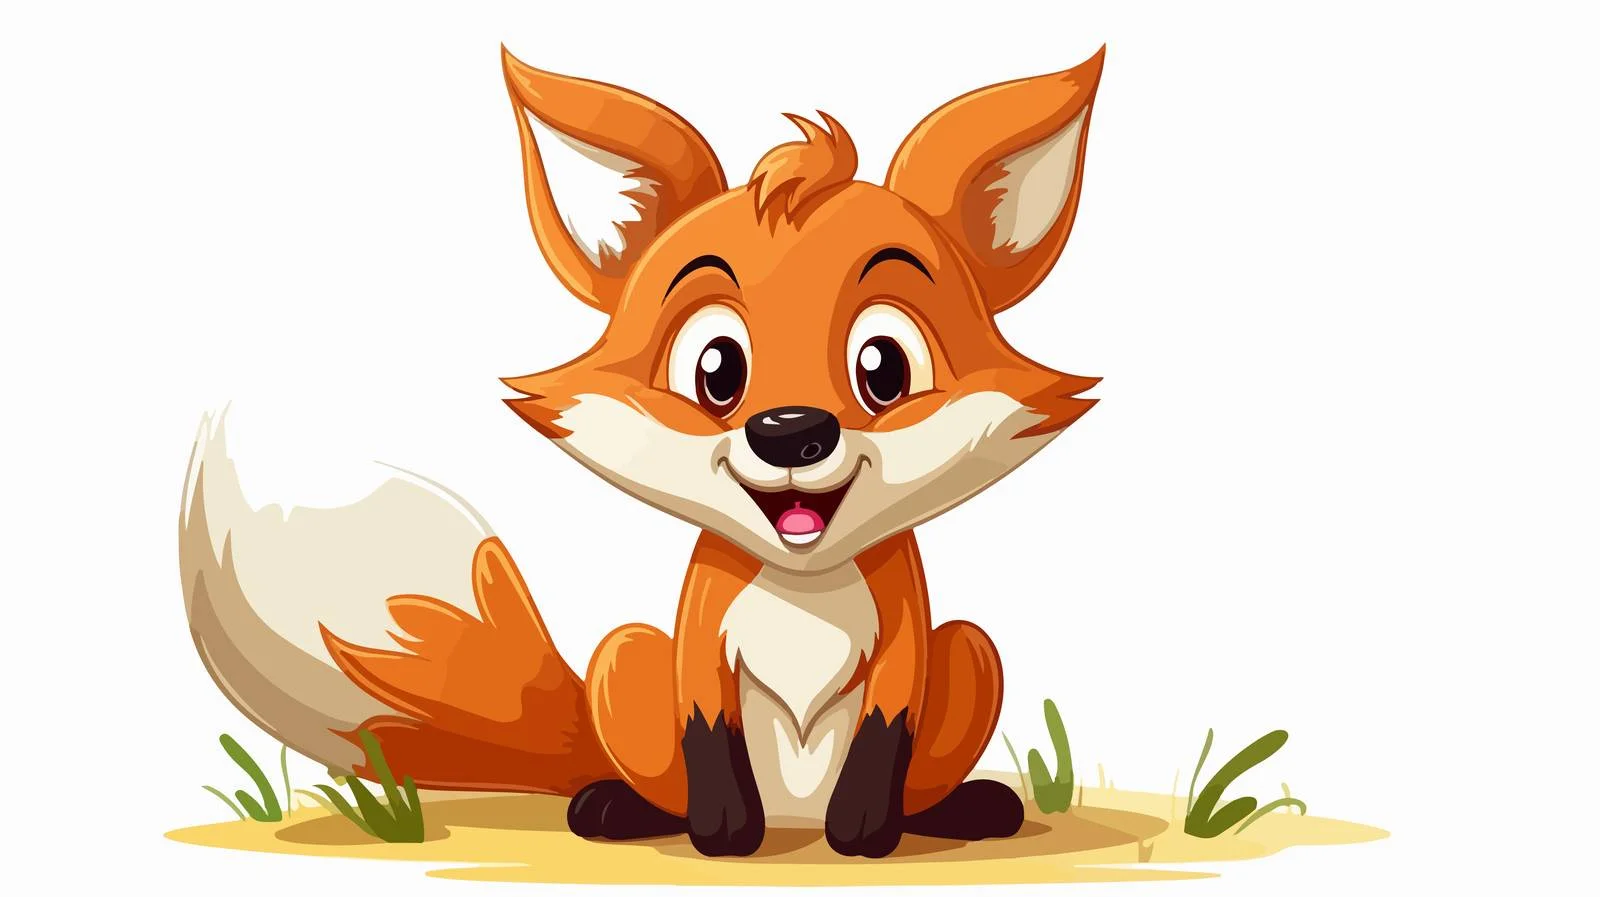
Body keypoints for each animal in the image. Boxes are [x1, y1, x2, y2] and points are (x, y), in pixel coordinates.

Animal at [180, 45, 1105, 858]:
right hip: (623, 659)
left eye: (883, 366)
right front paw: (723, 835)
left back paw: (964, 809)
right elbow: (706, 730)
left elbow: (885, 733)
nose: (791, 430)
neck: (802, 589)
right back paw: (621, 808)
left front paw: (863, 834)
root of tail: (794, 818)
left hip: (974, 652)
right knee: (648, 767)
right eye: (717, 369)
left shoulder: (908, 638)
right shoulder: (698, 636)